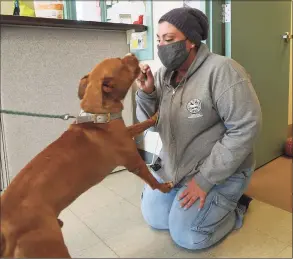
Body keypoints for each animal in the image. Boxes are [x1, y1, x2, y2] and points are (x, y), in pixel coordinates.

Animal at [0, 53, 172, 258]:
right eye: (121, 62)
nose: (132, 54)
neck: (98, 118)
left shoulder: (126, 131)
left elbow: (141, 124)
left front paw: (154, 116)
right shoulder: (134, 162)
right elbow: (151, 180)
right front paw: (164, 187)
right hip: (51, 247)